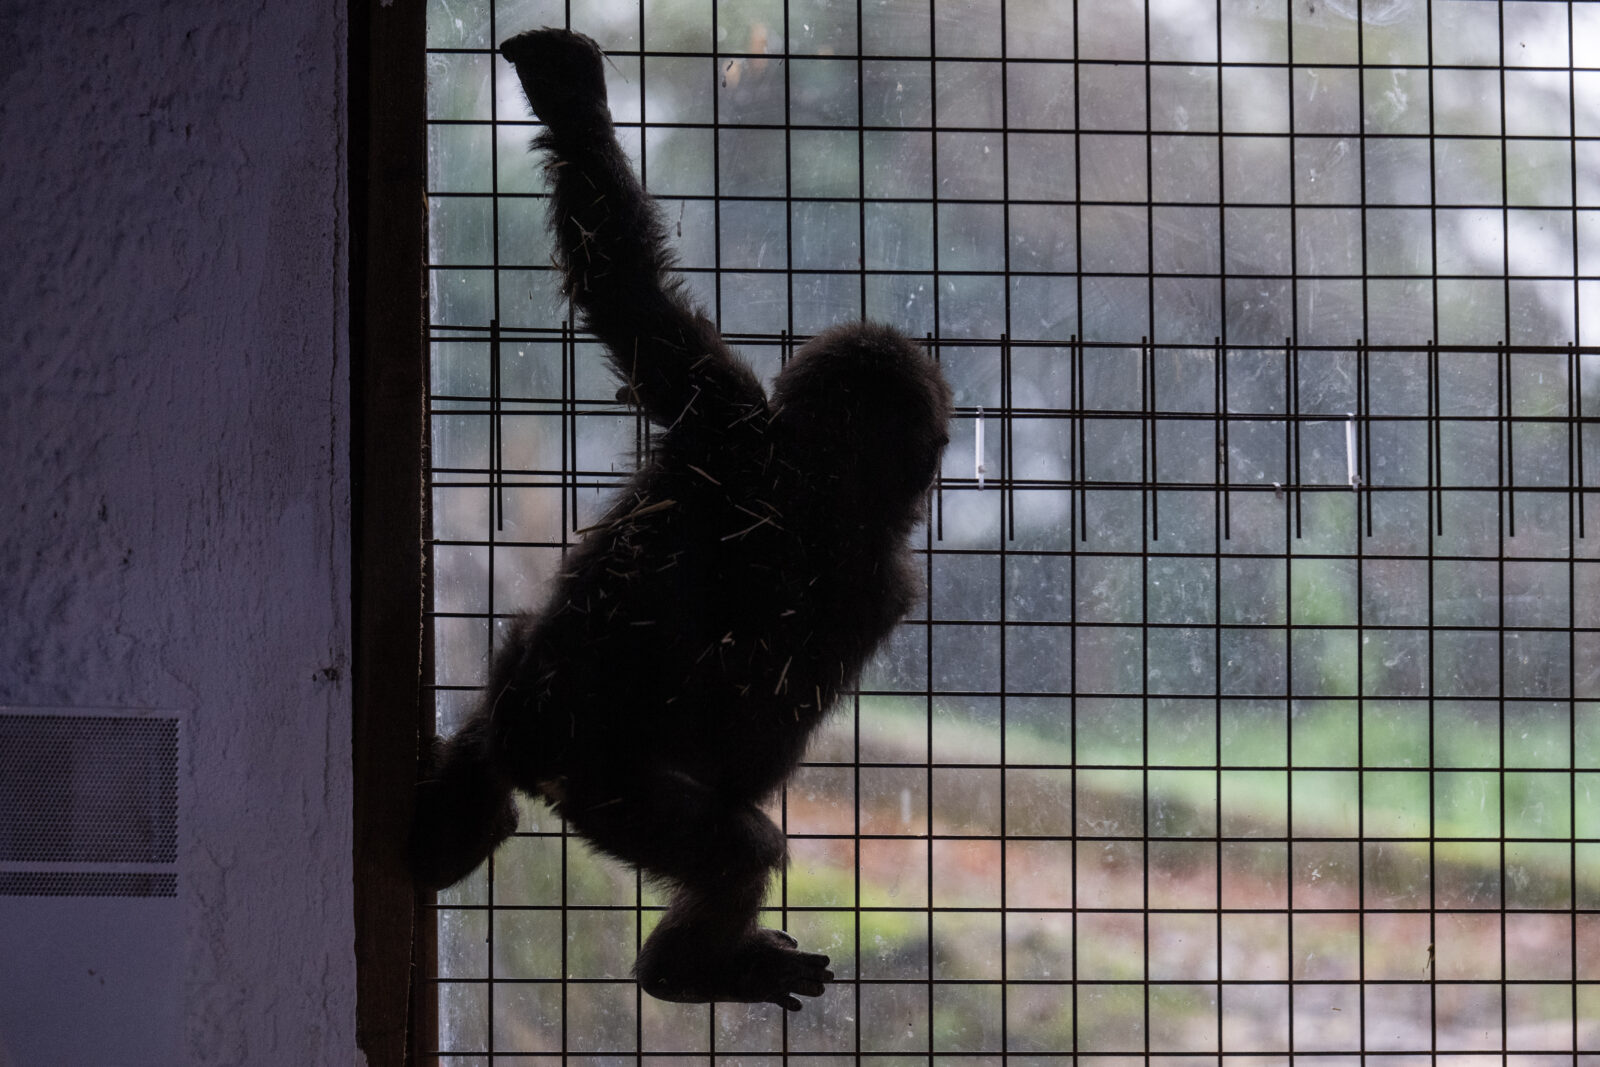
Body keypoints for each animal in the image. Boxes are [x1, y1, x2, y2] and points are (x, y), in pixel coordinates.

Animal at [416, 24, 947, 1011]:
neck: (810, 471)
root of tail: (533, 749)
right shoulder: (874, 577)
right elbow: (760, 737)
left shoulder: (721, 408)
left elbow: (626, 289)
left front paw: (570, 100)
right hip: (615, 794)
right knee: (738, 844)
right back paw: (687, 968)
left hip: (533, 709)